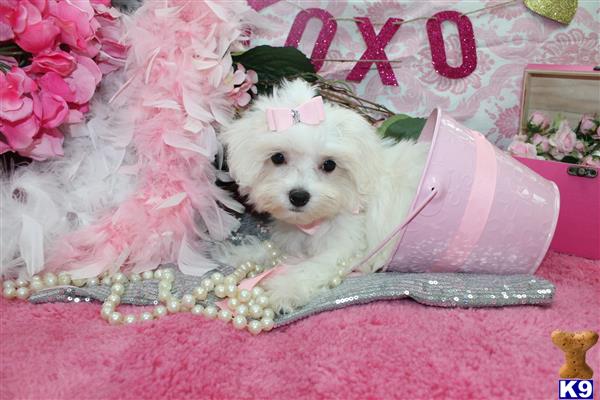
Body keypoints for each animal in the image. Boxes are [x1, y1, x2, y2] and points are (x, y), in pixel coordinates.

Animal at [218, 79, 428, 314]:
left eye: (329, 164)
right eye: (278, 158)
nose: (299, 196)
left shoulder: (347, 247)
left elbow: (312, 266)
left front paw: (284, 289)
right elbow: (272, 248)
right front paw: (242, 254)